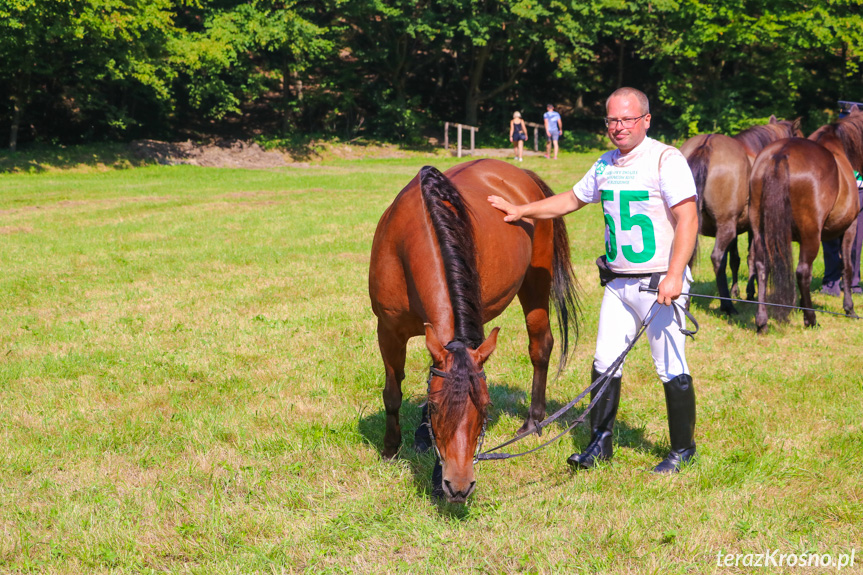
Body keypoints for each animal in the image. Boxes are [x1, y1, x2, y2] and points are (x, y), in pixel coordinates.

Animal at [368, 159, 576, 504]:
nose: (460, 485)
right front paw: (391, 449)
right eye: (436, 408)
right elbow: (393, 392)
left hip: (536, 282)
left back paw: (533, 421)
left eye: (486, 408)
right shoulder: (388, 330)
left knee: (540, 346)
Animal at [680, 117, 804, 316]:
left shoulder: (736, 229)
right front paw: (750, 291)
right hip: (726, 227)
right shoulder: (752, 228)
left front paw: (736, 290)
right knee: (716, 258)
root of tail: (706, 144)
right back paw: (727, 305)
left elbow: (734, 259)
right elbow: (750, 257)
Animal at [748, 108, 863, 332]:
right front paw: (849, 309)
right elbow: (846, 266)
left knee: (761, 266)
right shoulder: (849, 228)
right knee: (802, 271)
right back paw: (811, 319)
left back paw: (762, 321)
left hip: (759, 229)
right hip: (812, 235)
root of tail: (780, 154)